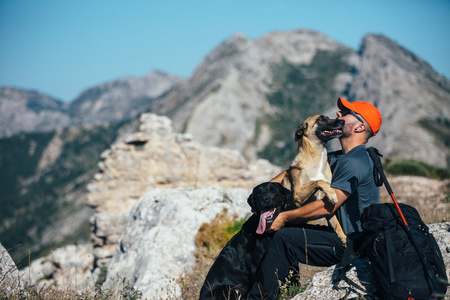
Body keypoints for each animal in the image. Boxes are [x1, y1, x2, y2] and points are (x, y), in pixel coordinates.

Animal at [282, 115, 348, 246]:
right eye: (321, 119)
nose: (343, 121)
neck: (317, 156)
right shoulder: (298, 194)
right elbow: (319, 181)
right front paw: (332, 194)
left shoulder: (326, 207)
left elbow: (336, 223)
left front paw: (343, 237)